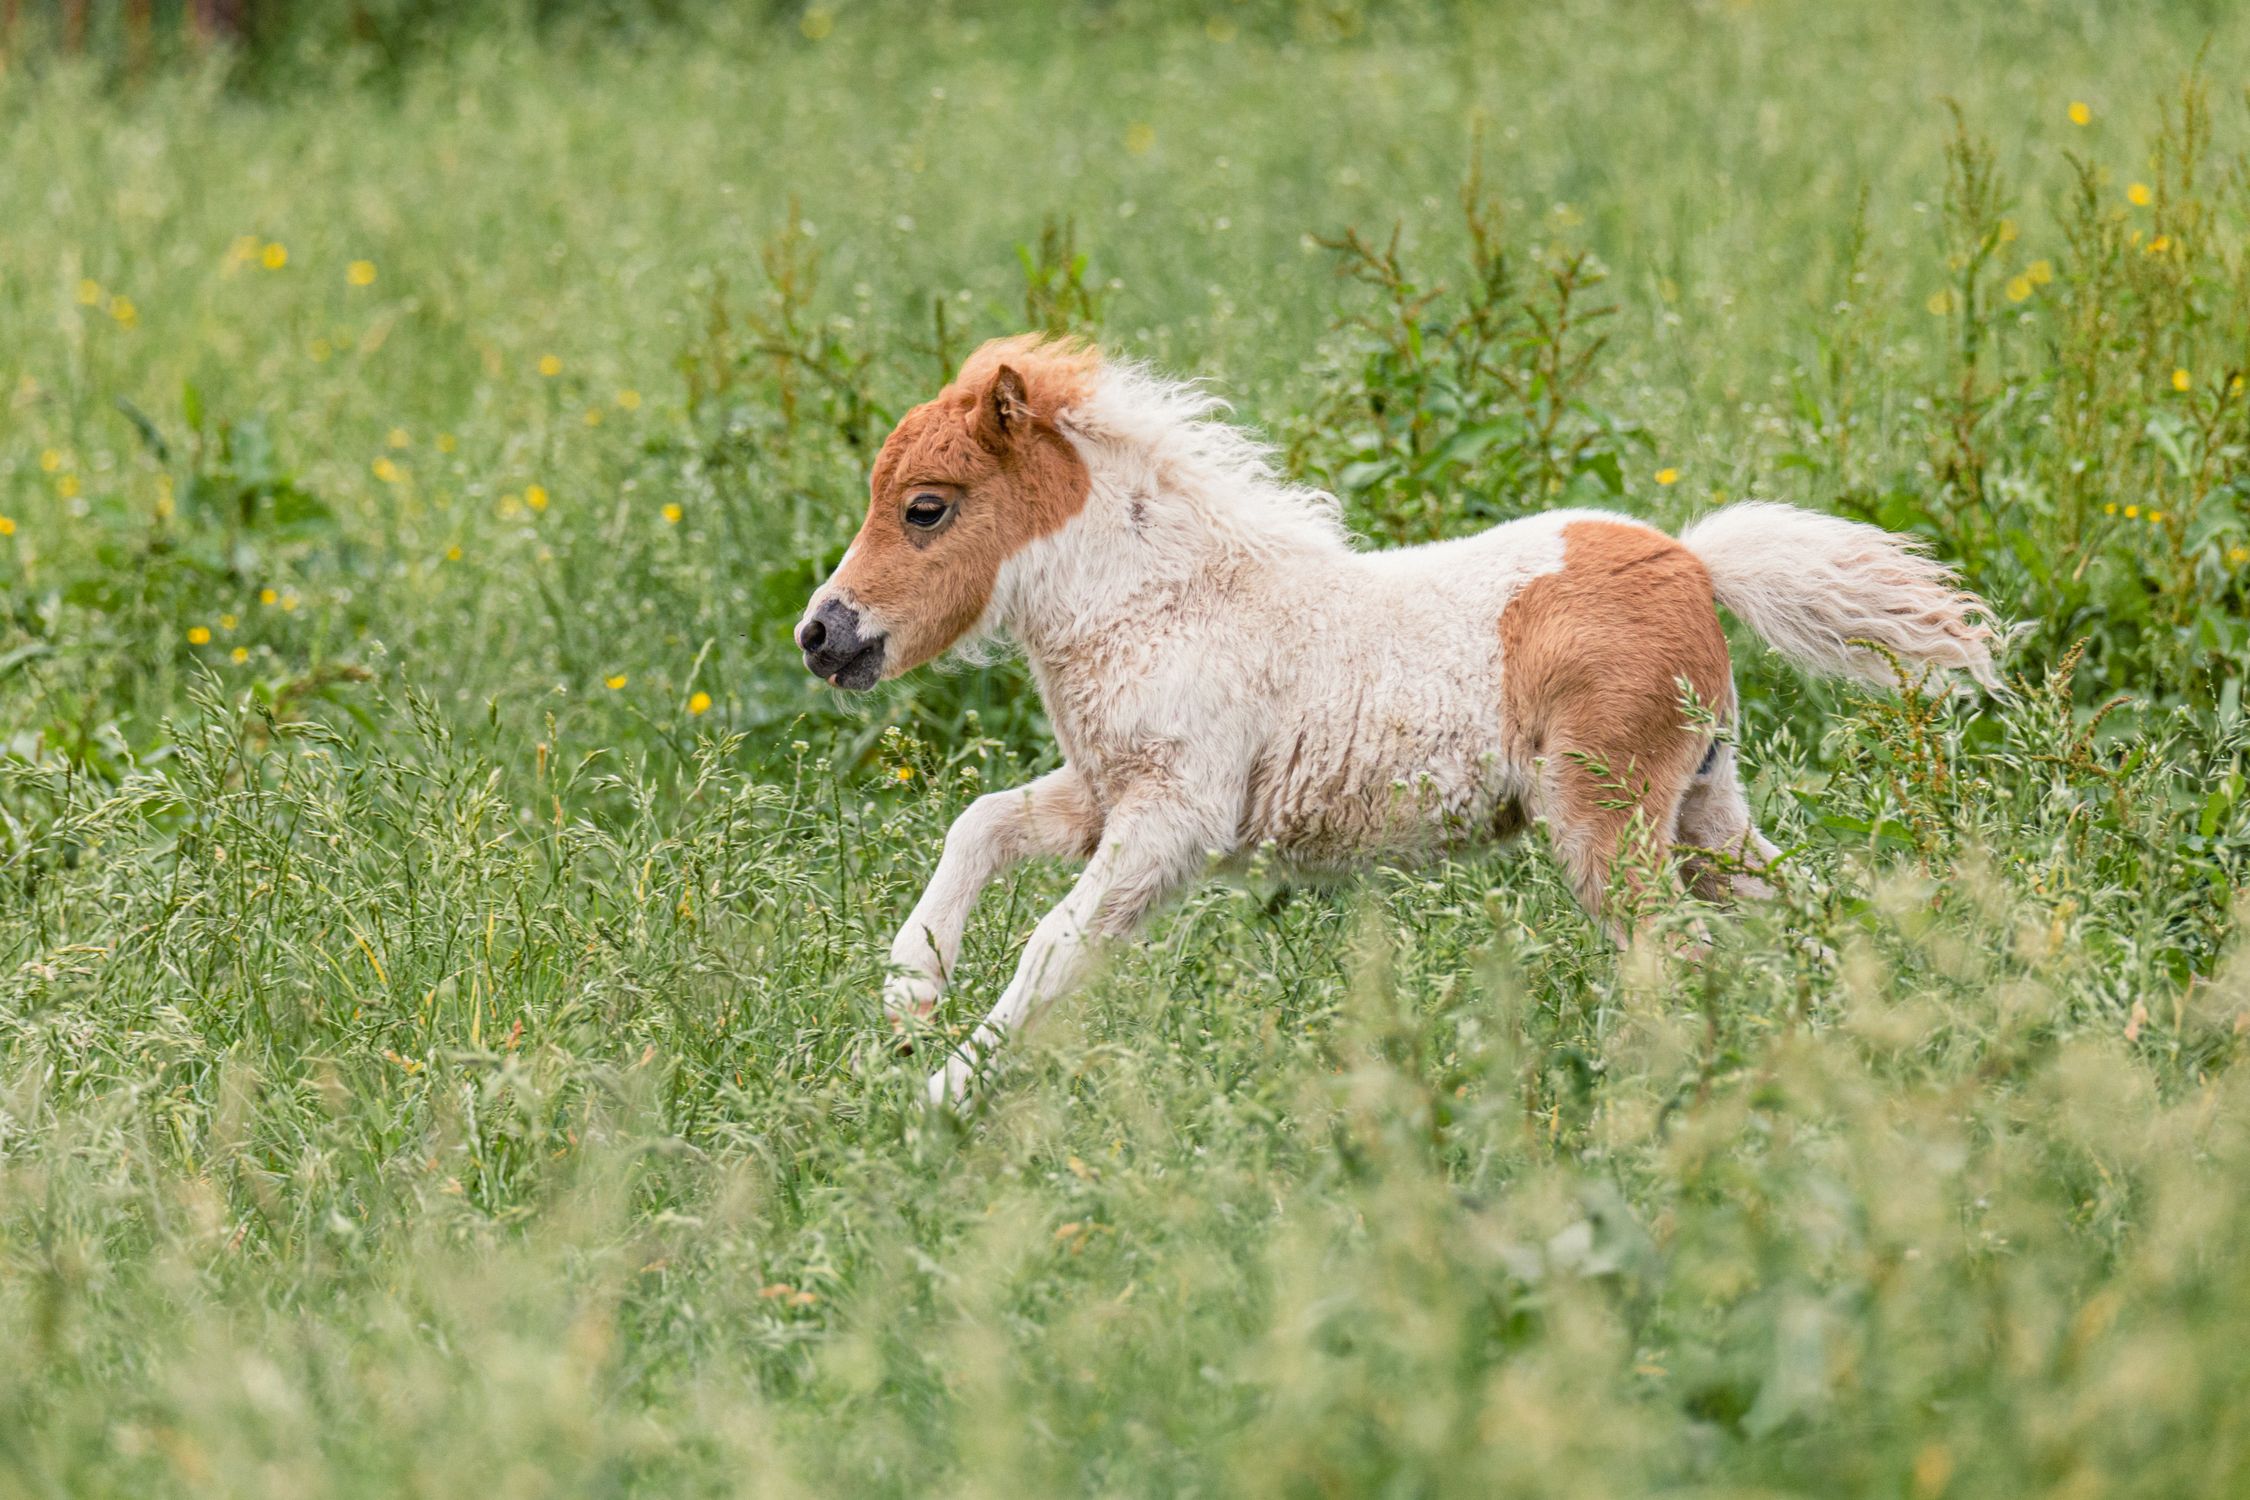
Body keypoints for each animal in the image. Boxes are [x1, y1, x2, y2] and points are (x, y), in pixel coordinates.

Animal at [796, 334, 2003, 1104]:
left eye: (926, 508)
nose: (821, 634)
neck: (1164, 604)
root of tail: (1695, 560)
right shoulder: (1106, 792)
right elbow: (980, 825)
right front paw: (907, 1000)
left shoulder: (1173, 820)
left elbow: (1054, 943)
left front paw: (938, 1099)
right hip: (1706, 807)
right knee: (1800, 913)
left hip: (1605, 820)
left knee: (1680, 951)